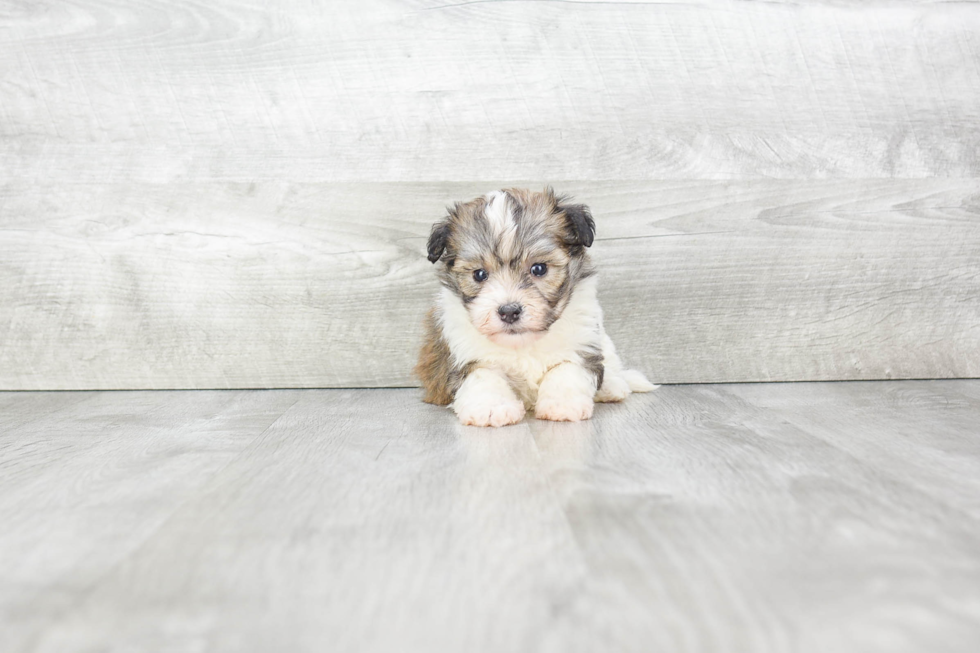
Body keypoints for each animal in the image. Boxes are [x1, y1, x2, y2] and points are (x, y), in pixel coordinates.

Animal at [416, 187, 656, 428]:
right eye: (479, 274)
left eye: (539, 268)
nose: (509, 311)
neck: (523, 343)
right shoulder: (462, 355)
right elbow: (484, 375)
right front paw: (493, 407)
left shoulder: (583, 341)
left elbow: (566, 368)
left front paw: (562, 404)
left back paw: (612, 387)